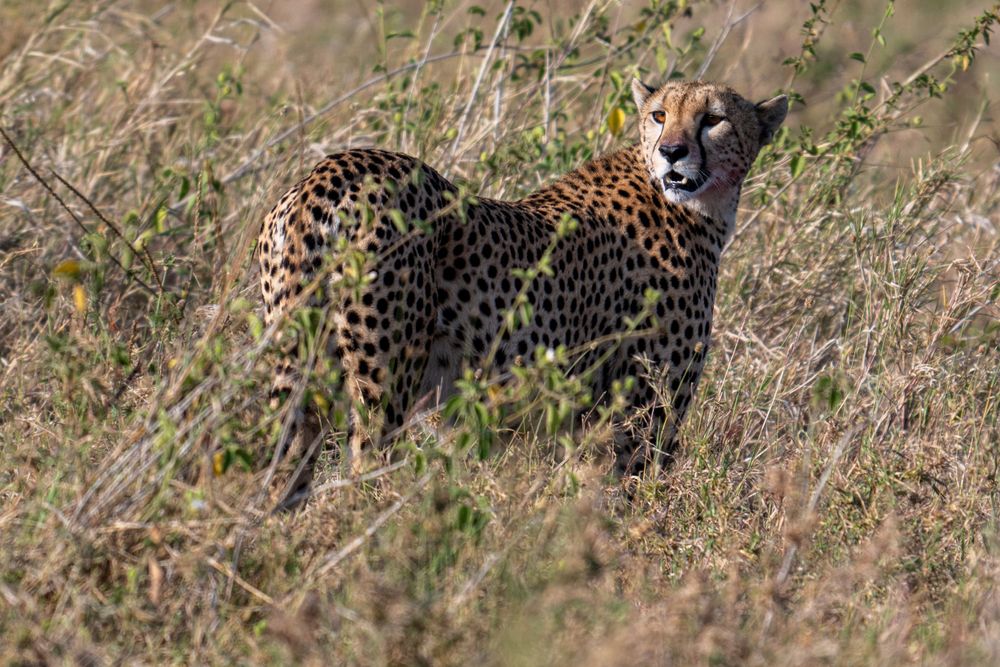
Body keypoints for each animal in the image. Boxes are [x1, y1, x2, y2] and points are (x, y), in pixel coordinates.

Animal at [258, 78, 787, 503]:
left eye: (713, 119)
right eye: (660, 115)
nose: (672, 151)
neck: (694, 204)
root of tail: (331, 169)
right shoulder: (646, 412)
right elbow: (633, 501)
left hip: (300, 364)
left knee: (282, 468)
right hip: (385, 384)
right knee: (363, 467)